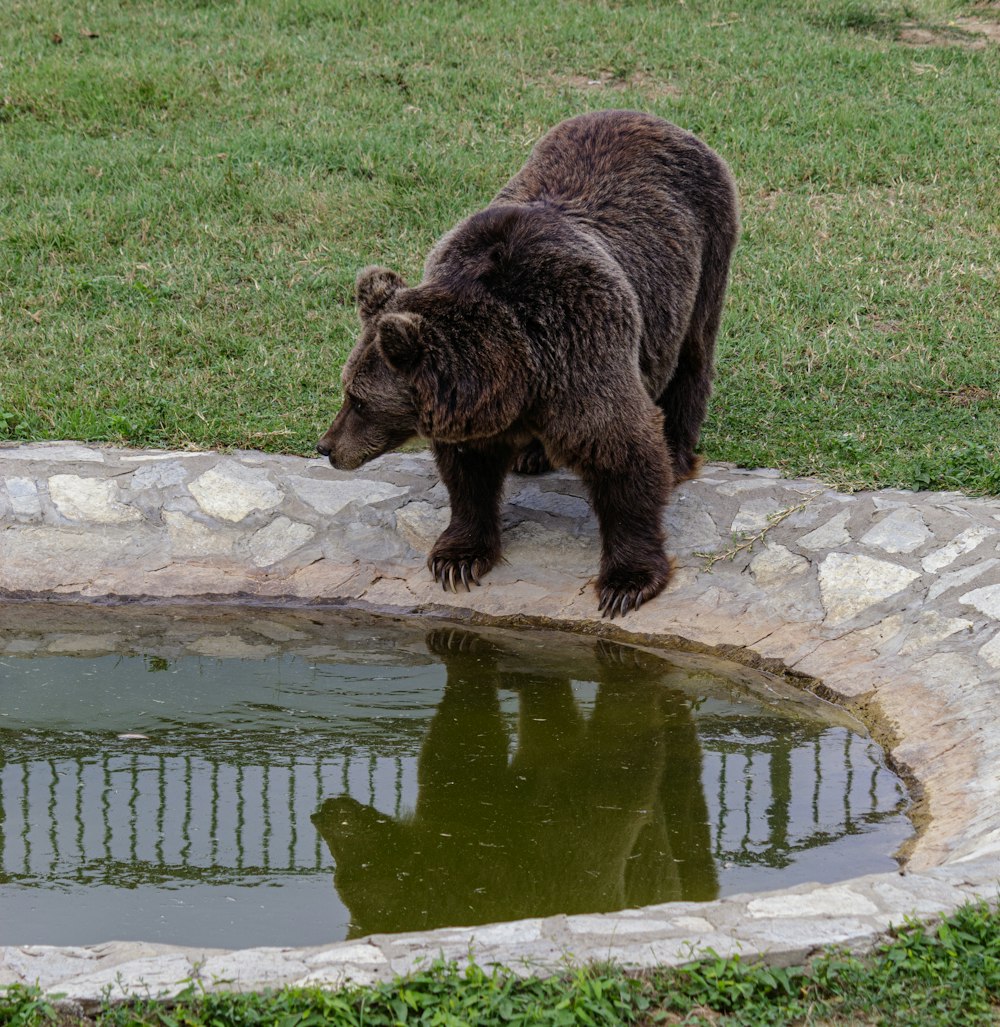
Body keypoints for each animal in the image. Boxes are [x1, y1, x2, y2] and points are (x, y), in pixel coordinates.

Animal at [316, 110, 739, 616]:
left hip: (703, 253)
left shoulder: (582, 352)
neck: (518, 369)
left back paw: (676, 452)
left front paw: (626, 581)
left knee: (691, 355)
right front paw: (458, 559)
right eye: (346, 390)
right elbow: (468, 476)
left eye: (358, 400)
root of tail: (648, 117)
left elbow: (624, 454)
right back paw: (531, 454)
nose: (326, 447)